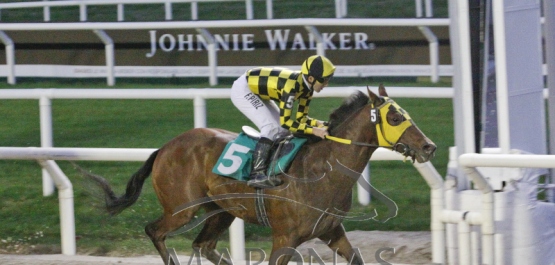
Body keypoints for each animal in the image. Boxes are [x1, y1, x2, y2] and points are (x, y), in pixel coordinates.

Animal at [87, 85, 436, 264]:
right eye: (394, 117)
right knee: (155, 231)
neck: (322, 169)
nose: (429, 147)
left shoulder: (332, 231)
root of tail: (165, 147)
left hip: (220, 210)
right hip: (180, 209)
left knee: (203, 245)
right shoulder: (284, 237)